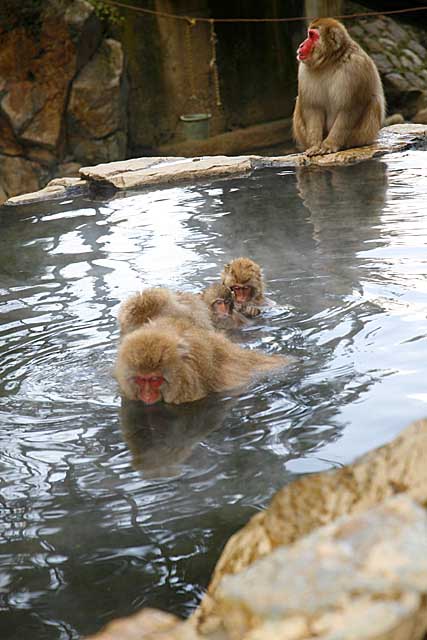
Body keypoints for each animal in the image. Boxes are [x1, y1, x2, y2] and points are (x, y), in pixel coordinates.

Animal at [292, 16, 386, 156]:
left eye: (312, 35)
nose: (301, 45)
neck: (329, 62)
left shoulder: (356, 67)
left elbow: (350, 108)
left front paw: (329, 144)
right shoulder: (303, 70)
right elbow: (313, 107)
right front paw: (315, 146)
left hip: (364, 135)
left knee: (373, 101)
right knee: (300, 100)